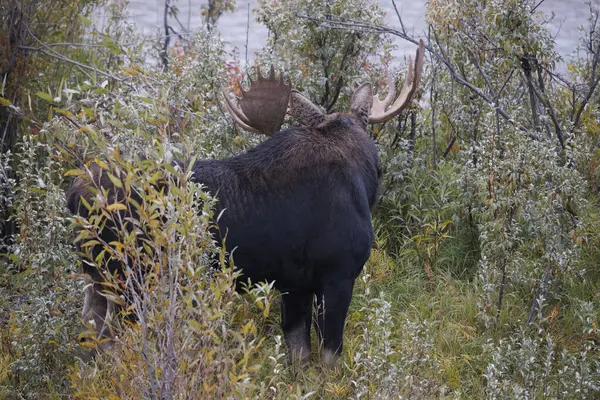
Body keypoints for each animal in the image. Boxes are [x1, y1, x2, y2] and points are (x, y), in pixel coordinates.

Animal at [69, 39, 426, 362]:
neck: (363, 180)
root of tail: (73, 195)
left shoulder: (294, 284)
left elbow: (298, 354)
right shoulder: (338, 273)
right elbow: (329, 356)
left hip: (95, 276)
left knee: (89, 331)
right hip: (130, 275)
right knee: (115, 338)